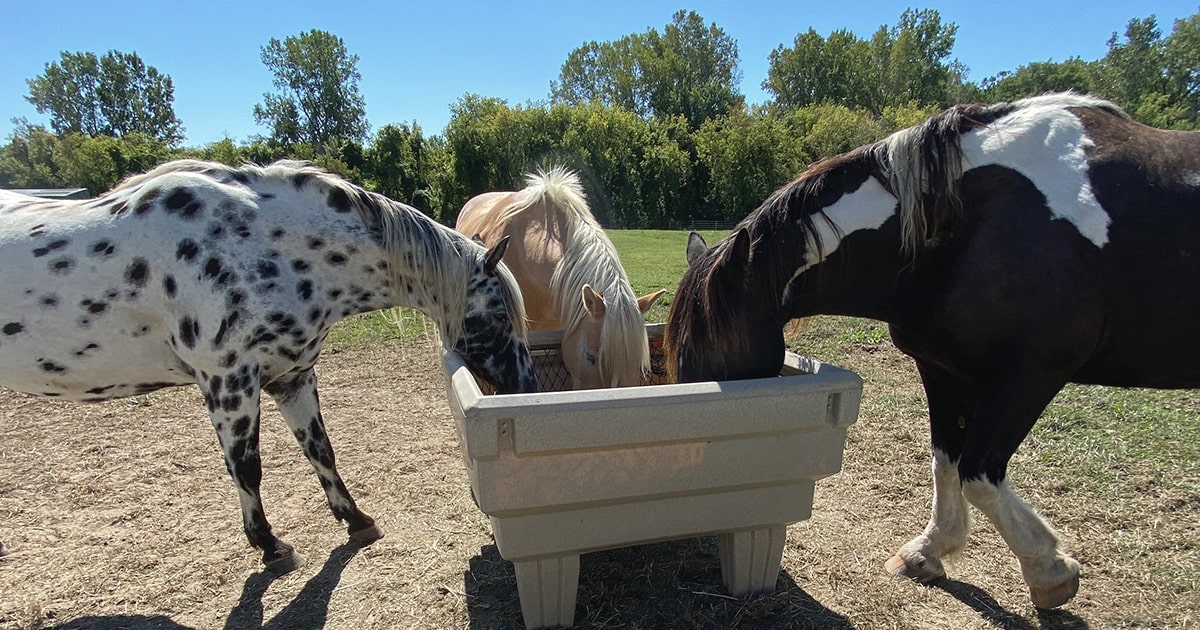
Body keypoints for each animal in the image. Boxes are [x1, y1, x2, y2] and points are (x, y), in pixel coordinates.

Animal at [0, 159, 535, 571]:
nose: (527, 385)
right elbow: (247, 467)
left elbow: (320, 449)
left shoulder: (291, 376)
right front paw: (270, 546)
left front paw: (357, 520)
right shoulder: (228, 380)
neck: (261, 247)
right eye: (499, 313)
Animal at [667, 90, 1200, 607]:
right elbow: (946, 460)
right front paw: (928, 551)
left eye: (713, 352)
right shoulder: (942, 367)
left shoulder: (1028, 374)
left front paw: (1049, 571)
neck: (961, 227)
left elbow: (978, 473)